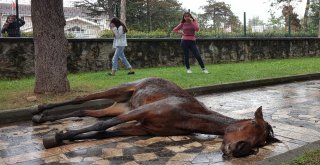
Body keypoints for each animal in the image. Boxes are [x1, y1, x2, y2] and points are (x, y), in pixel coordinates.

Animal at [31, 77, 278, 157]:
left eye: (260, 143)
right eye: (252, 122)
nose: (240, 149)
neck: (185, 116)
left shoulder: (143, 128)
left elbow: (103, 133)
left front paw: (62, 136)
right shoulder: (143, 112)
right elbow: (103, 126)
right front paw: (55, 137)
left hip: (119, 107)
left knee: (84, 111)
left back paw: (43, 118)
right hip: (121, 90)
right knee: (80, 100)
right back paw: (38, 110)